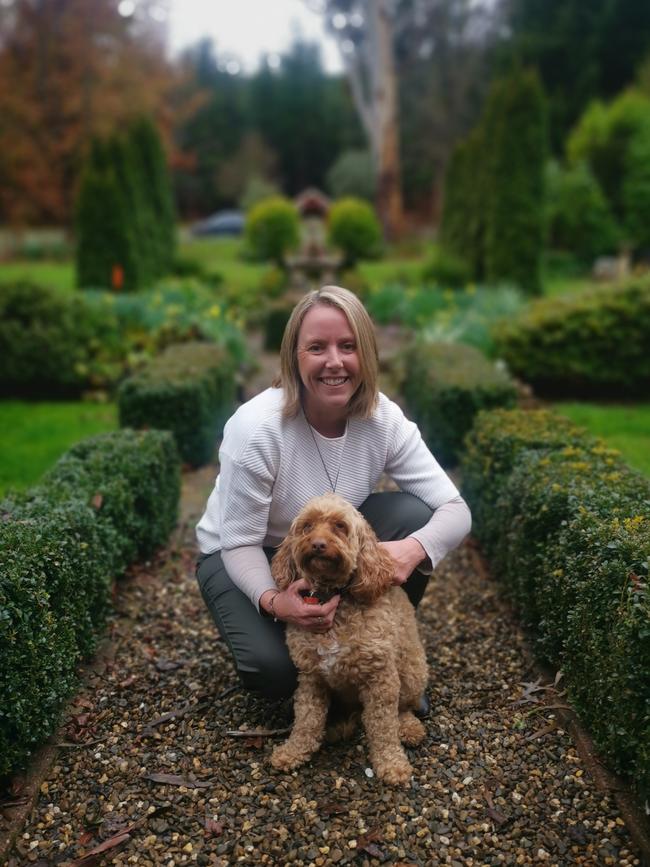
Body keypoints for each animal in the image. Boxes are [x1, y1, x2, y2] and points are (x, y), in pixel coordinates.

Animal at [268, 496, 426, 788]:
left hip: (412, 671)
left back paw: (408, 727)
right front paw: (294, 752)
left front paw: (392, 764)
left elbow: (383, 726)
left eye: (340, 526)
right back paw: (339, 726)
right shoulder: (311, 677)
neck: (335, 596)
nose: (318, 544)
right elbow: (306, 719)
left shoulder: (381, 677)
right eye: (307, 526)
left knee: (403, 708)